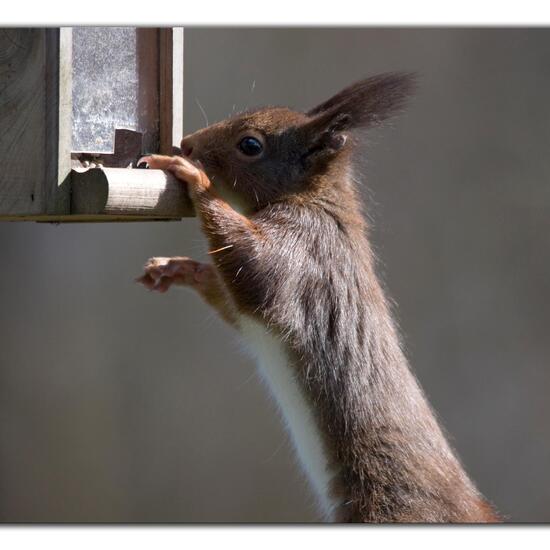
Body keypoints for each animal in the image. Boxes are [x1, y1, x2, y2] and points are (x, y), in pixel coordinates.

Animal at [137, 73, 500, 528]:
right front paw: (177, 268)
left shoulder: (304, 248)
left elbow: (253, 269)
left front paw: (193, 177)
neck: (312, 196)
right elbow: (232, 295)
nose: (186, 145)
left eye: (250, 145)